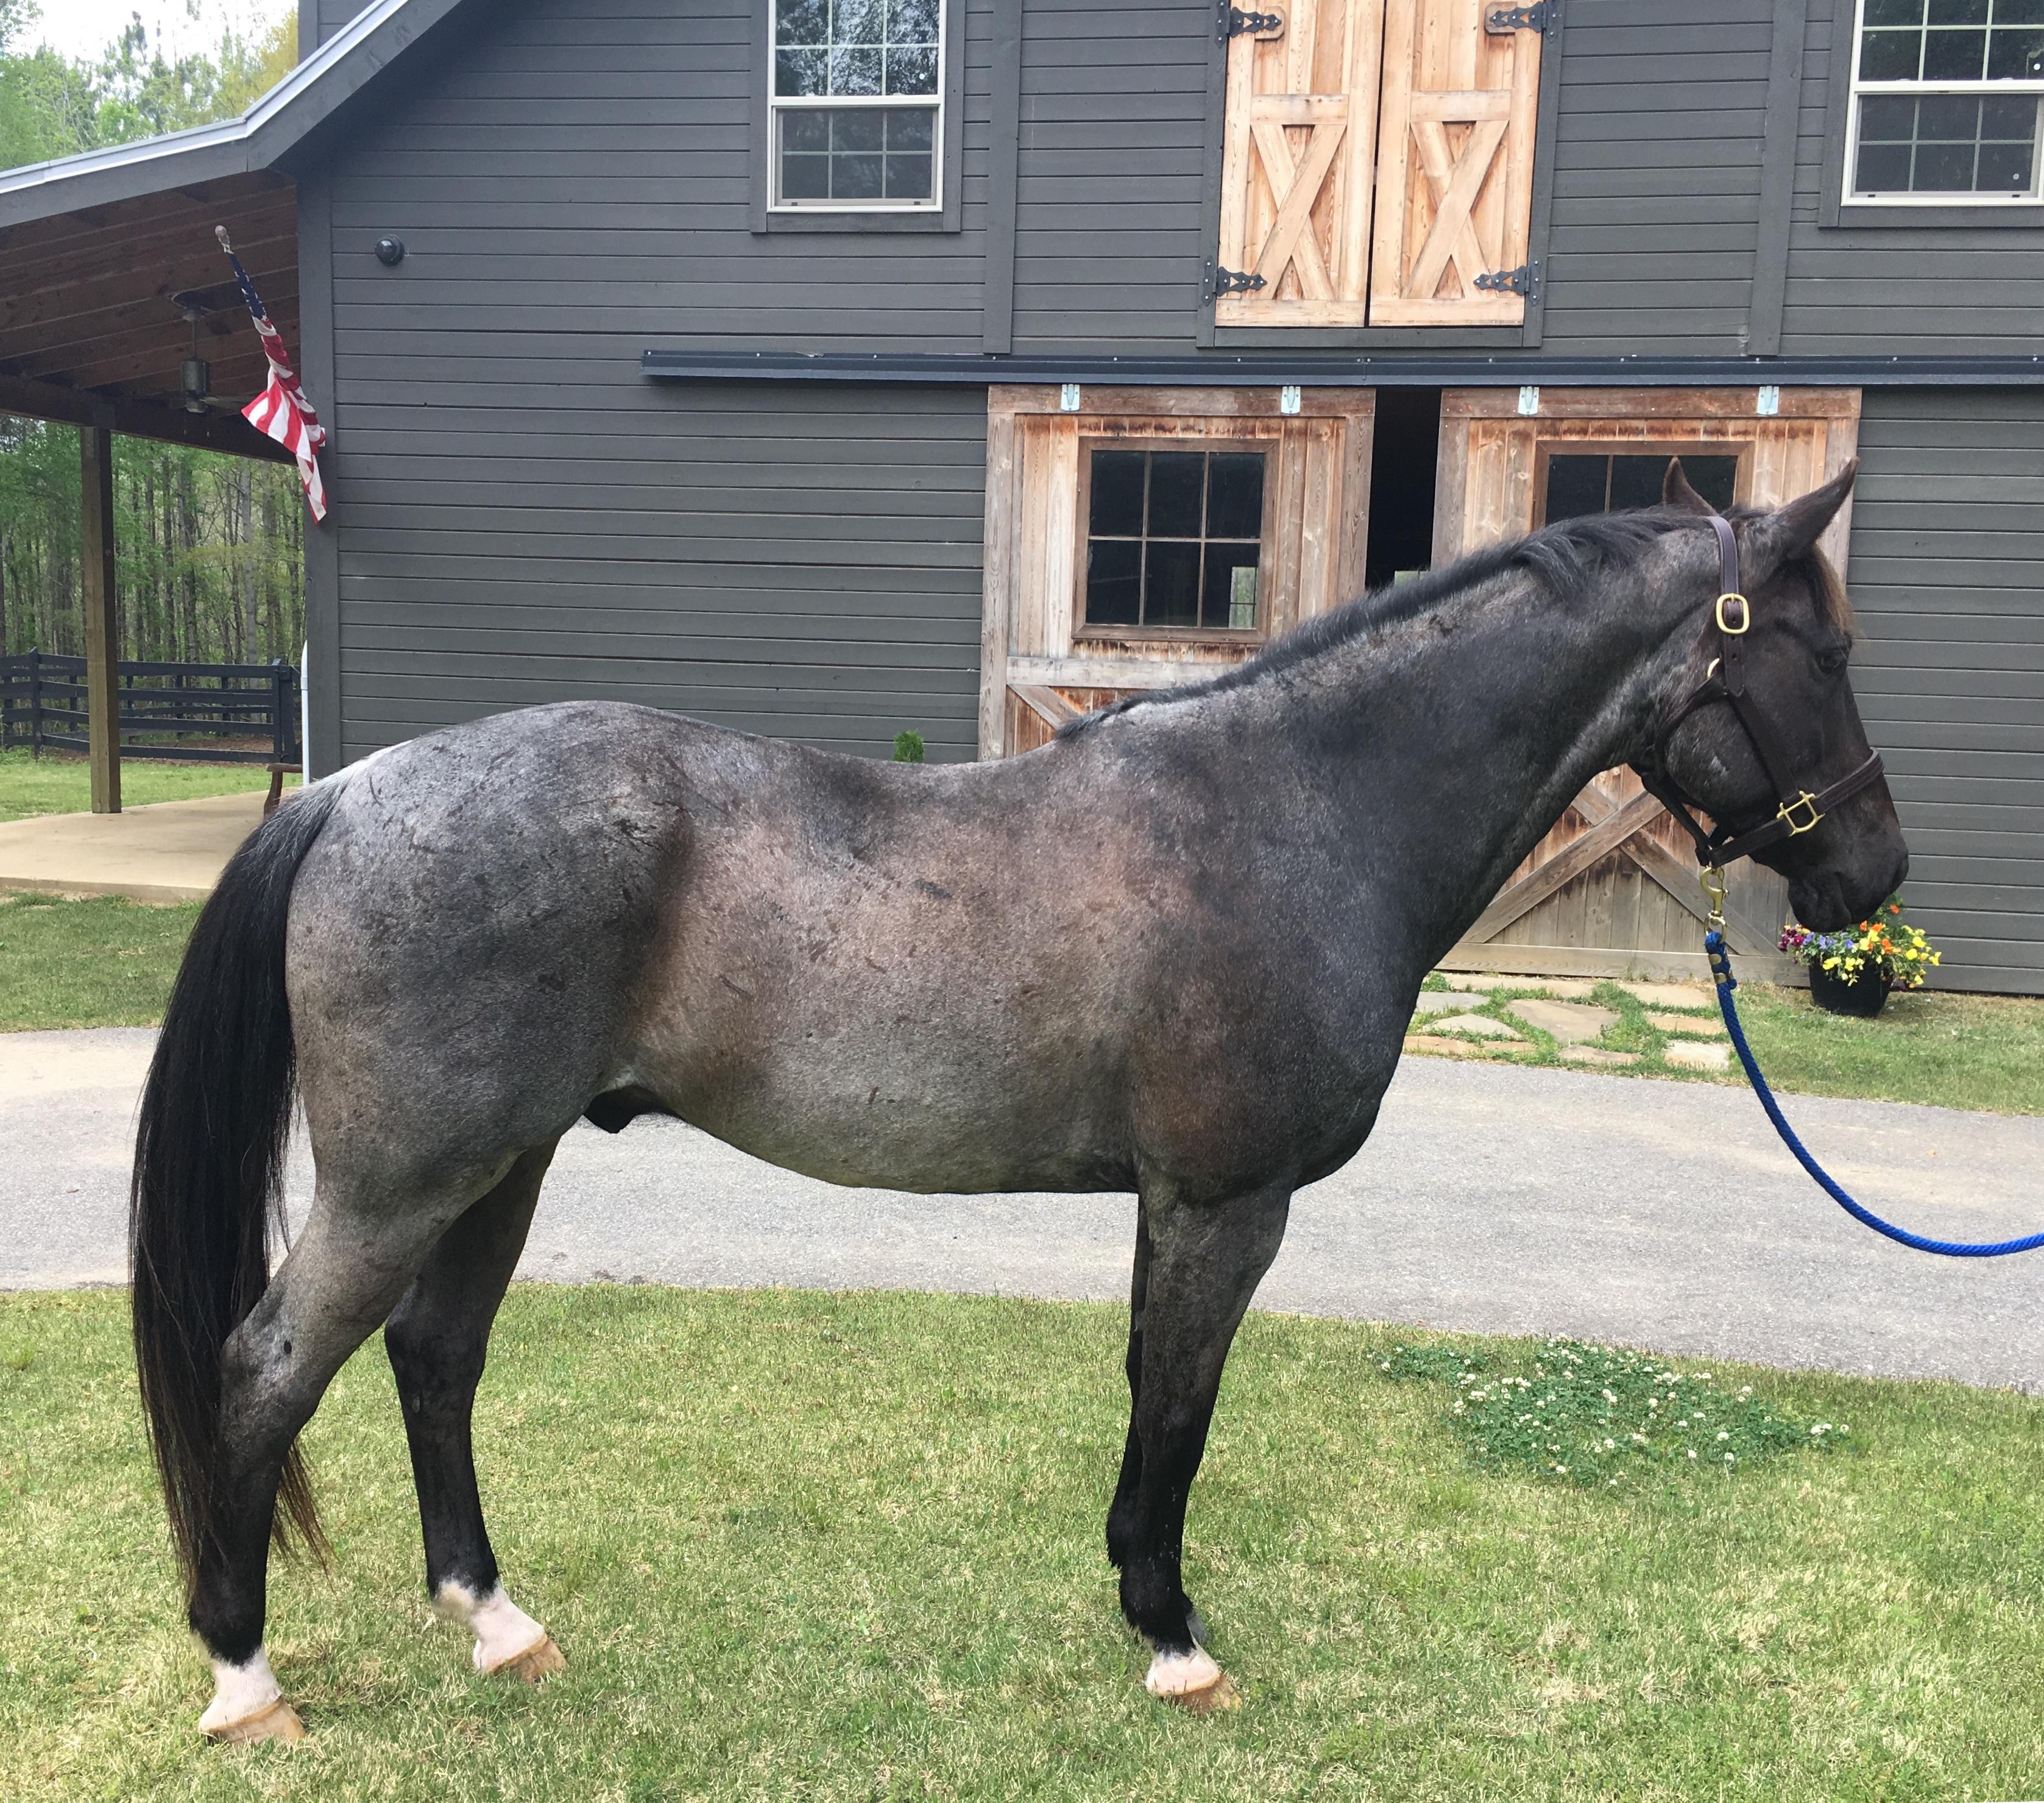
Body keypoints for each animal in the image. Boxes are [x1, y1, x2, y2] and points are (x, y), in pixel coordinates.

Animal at [131, 459, 1906, 1740]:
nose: (1872, 880)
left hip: (496, 1166)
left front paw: (1138, 1597)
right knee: (264, 1370)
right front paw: (1175, 1634)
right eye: (1817, 650)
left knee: (434, 1357)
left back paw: (494, 1618)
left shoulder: (1173, 1201)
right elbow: (1180, 1405)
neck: (1302, 808)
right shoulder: (1225, 1201)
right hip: (402, 1181)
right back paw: (244, 1669)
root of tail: (352, 791)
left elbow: (1145, 1390)